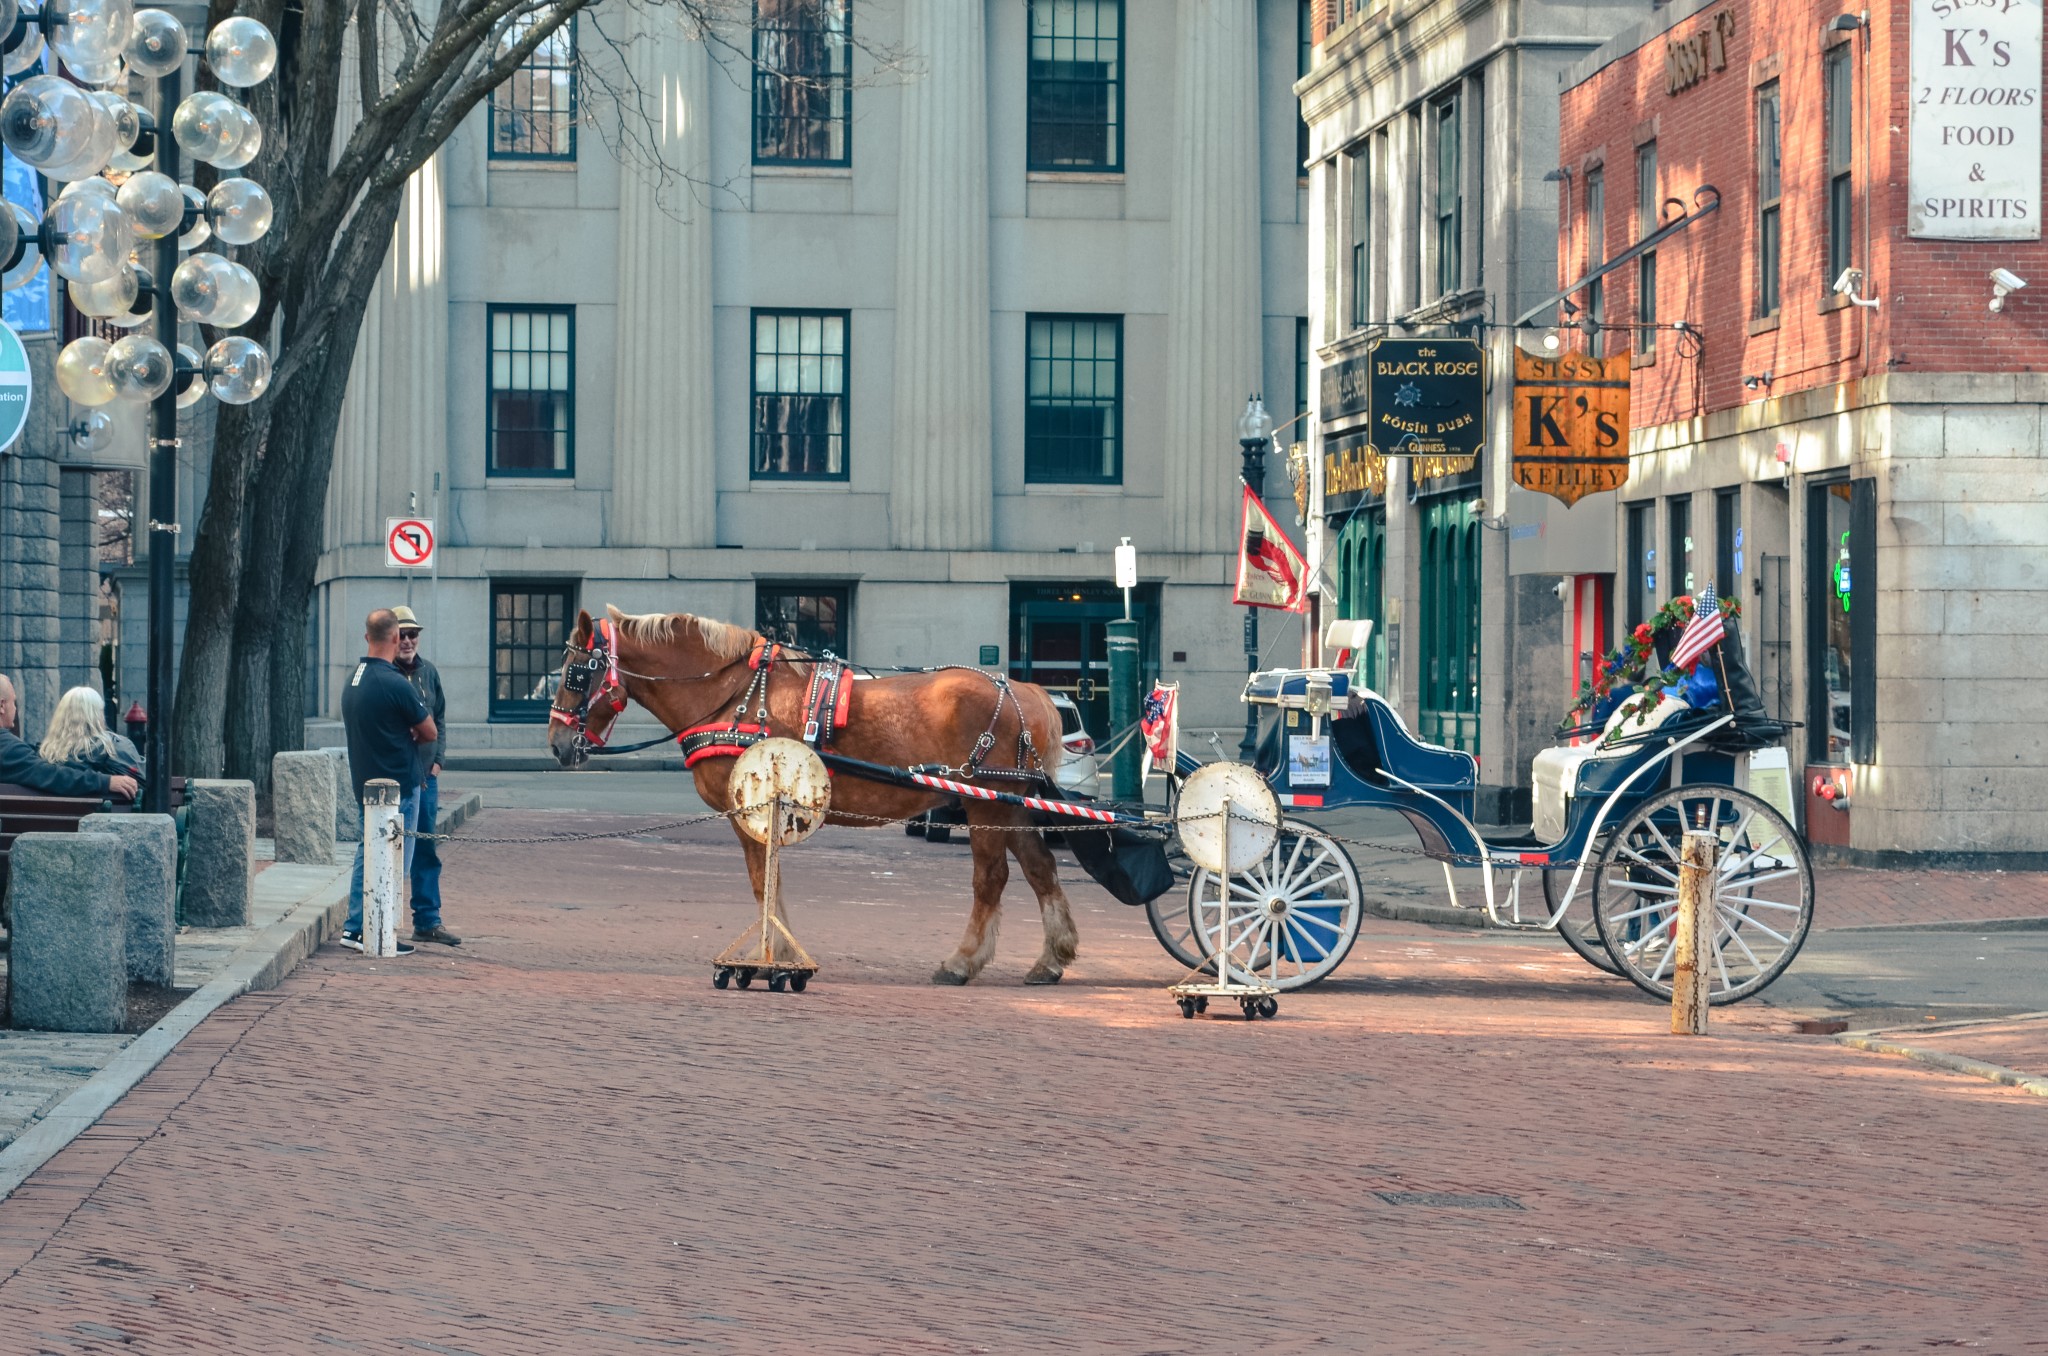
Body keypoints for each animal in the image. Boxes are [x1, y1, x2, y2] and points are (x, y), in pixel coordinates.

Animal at [544, 614, 1089, 987]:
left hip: (986, 804)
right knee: (1041, 869)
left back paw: (963, 961)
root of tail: (1024, 689)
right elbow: (771, 881)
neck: (734, 693)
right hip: (1011, 802)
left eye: (575, 673)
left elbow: (762, 883)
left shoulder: (750, 810)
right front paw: (780, 954)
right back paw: (1051, 957)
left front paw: (775, 959)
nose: (556, 743)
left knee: (991, 878)